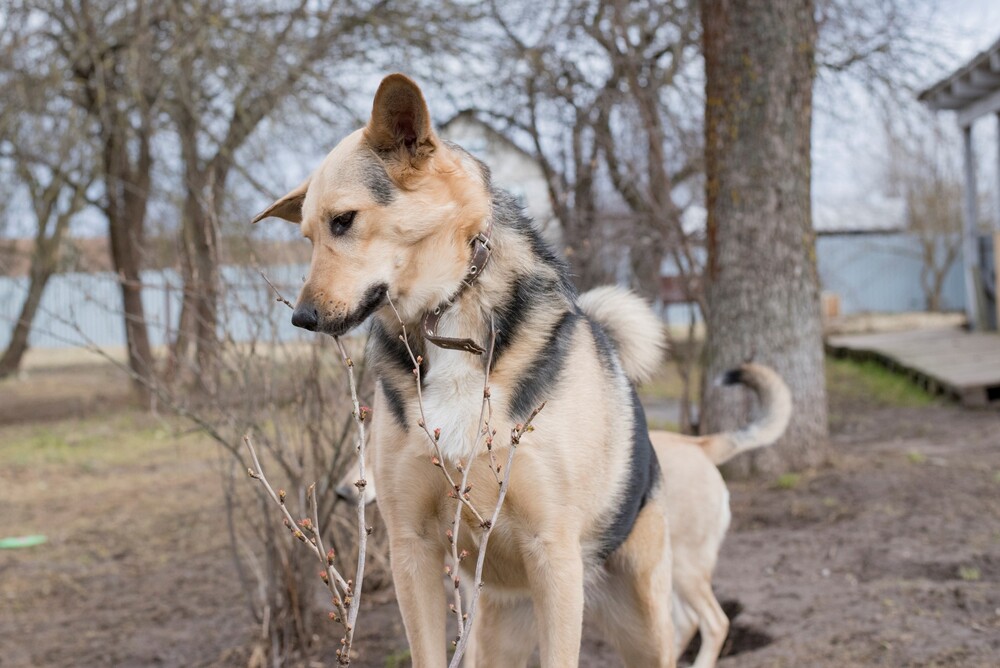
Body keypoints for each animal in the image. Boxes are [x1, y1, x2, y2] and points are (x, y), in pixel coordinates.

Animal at [250, 70, 772, 664]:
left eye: (344, 220)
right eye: (307, 238)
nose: (301, 319)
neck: (447, 316)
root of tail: (698, 445)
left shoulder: (553, 556)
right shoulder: (412, 551)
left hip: (647, 619)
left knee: (700, 622)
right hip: (496, 630)